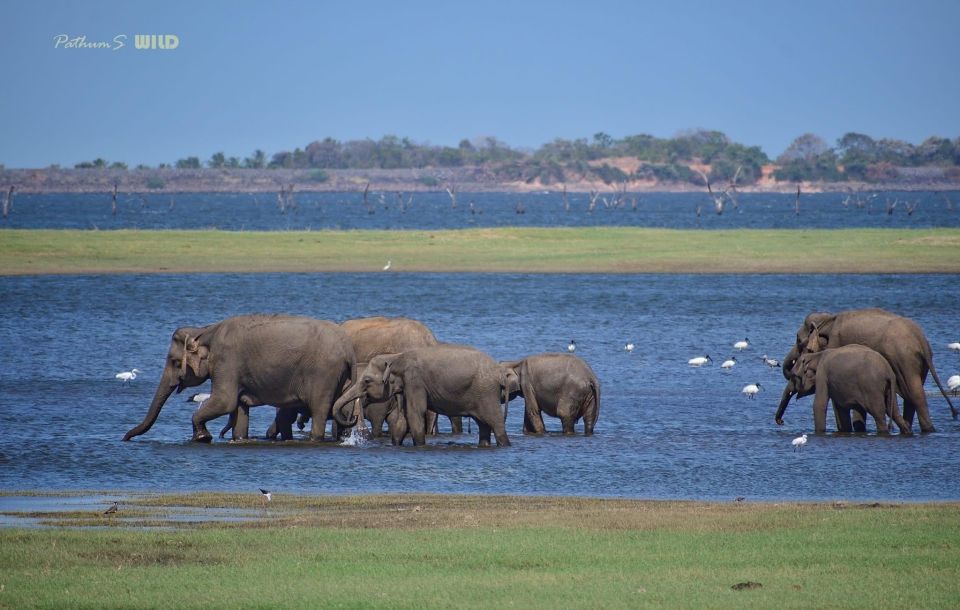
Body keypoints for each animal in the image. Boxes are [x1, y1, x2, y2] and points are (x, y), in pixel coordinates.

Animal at [122, 314, 354, 442]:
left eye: (174, 362)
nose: (125, 437)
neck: (205, 330)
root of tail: (347, 348)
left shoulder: (227, 361)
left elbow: (225, 401)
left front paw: (202, 438)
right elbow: (239, 408)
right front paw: (238, 438)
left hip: (324, 374)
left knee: (320, 410)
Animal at [334, 342, 510, 446]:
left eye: (367, 380)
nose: (353, 417)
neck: (397, 356)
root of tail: (500, 372)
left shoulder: (415, 381)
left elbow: (415, 414)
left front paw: (419, 445)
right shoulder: (407, 386)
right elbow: (404, 418)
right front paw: (396, 444)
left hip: (487, 393)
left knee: (496, 423)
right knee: (483, 425)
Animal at [776, 344, 912, 434]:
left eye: (793, 376)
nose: (781, 421)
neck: (816, 355)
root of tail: (888, 371)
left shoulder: (822, 374)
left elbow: (819, 404)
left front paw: (820, 433)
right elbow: (841, 409)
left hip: (872, 388)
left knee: (879, 414)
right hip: (888, 389)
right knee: (894, 412)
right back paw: (907, 431)